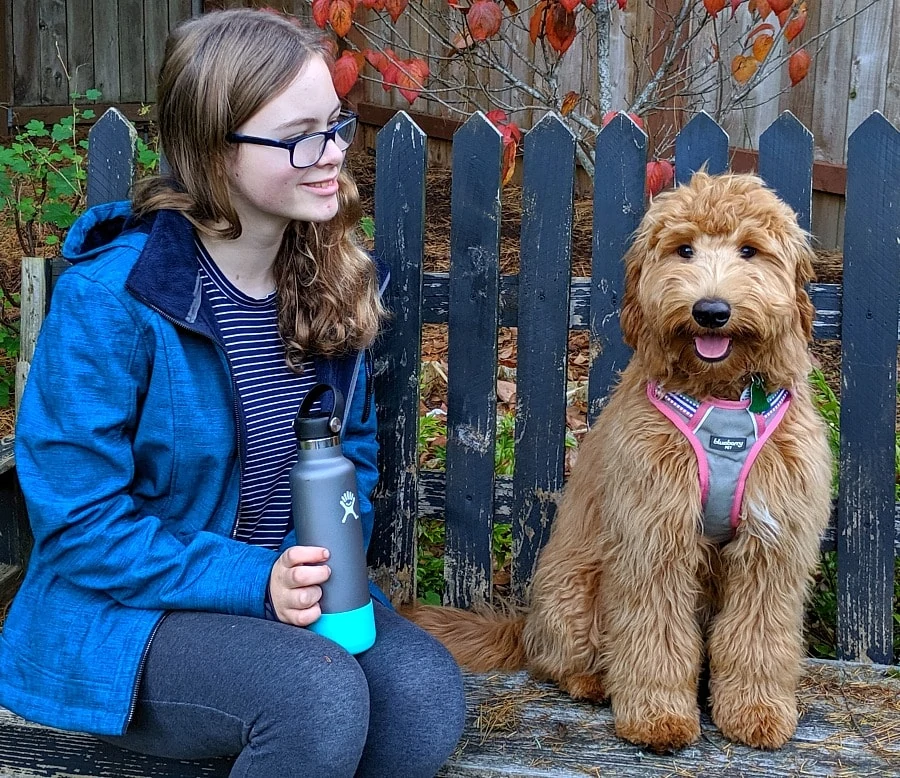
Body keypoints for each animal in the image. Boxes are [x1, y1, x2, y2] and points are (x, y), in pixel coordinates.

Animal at [408, 173, 828, 748]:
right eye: (684, 249)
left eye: (750, 250)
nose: (711, 311)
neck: (722, 397)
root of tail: (525, 623)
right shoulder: (655, 537)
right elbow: (654, 634)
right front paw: (658, 716)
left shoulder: (772, 543)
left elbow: (758, 635)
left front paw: (755, 710)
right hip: (575, 591)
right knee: (558, 661)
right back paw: (593, 681)